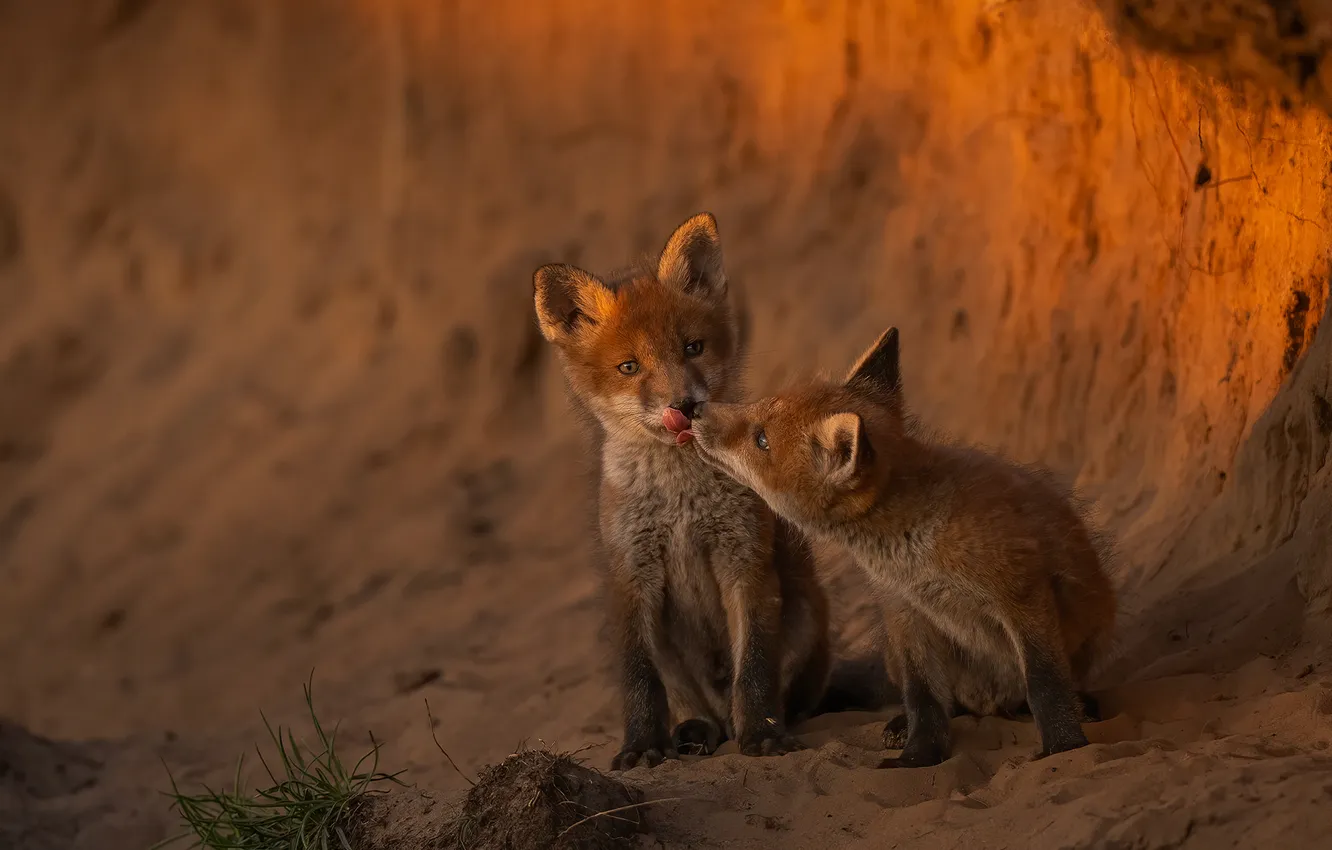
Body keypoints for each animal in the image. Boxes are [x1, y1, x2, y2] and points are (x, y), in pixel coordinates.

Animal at [532, 212, 835, 770]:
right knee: (698, 709)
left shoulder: (745, 558)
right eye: (629, 367)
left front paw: (762, 736)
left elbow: (755, 667)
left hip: (804, 614)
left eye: (692, 347)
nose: (685, 406)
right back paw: (695, 731)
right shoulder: (632, 576)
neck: (680, 504)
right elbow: (640, 680)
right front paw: (641, 746)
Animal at [677, 326, 1117, 767]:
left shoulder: (1022, 593)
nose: (694, 410)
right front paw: (918, 755)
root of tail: (990, 704)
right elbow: (923, 698)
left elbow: (1045, 683)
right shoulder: (906, 611)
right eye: (759, 405)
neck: (917, 555)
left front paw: (1064, 745)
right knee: (944, 702)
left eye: (762, 439)